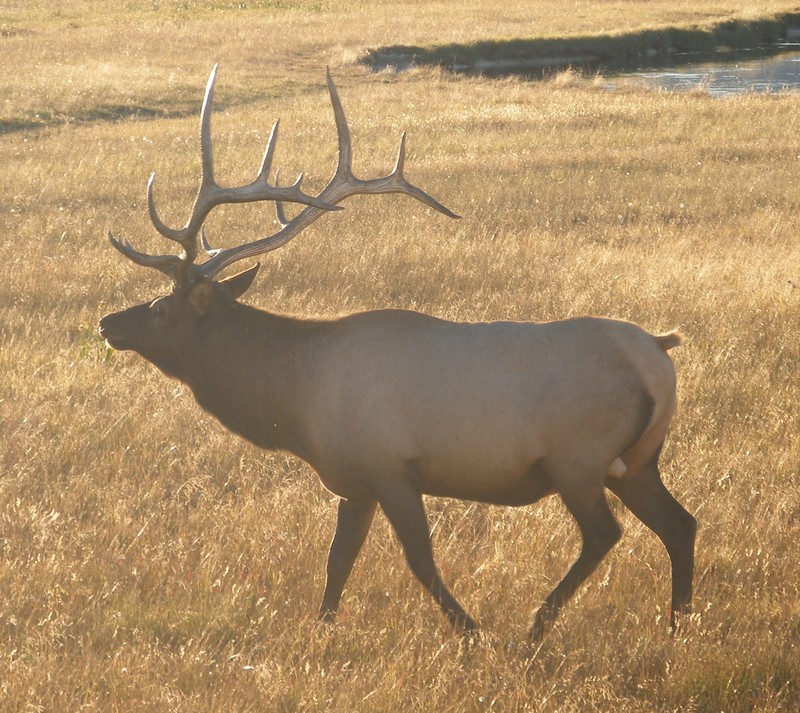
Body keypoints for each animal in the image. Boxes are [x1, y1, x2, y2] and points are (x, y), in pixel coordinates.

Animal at [100, 67, 696, 644]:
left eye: (159, 308)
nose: (108, 324)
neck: (294, 403)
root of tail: (658, 353)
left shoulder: (390, 468)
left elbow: (419, 561)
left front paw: (473, 634)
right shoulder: (354, 482)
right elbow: (337, 564)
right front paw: (320, 632)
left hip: (579, 457)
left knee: (605, 533)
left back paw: (536, 627)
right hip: (638, 460)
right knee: (681, 524)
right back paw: (678, 626)